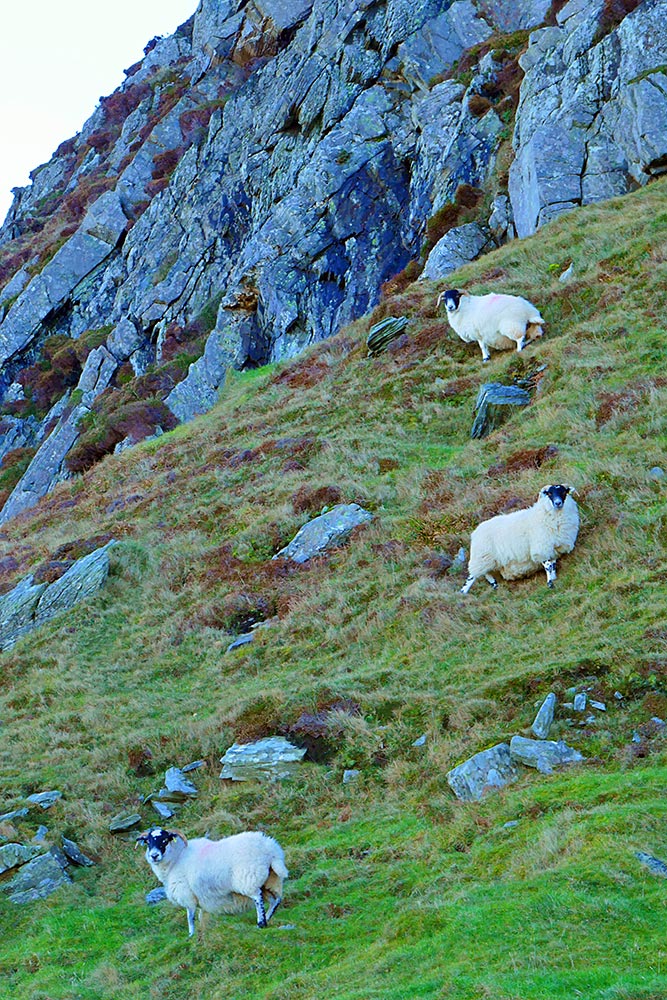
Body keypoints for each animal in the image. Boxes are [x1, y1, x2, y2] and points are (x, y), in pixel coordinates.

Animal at [136, 827, 288, 938]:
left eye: (165, 840)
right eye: (148, 842)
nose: (154, 856)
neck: (176, 859)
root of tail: (271, 850)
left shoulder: (187, 894)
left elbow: (190, 916)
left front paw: (191, 935)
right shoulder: (199, 897)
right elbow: (201, 915)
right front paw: (202, 931)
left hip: (248, 879)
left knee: (257, 898)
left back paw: (261, 923)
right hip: (271, 879)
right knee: (275, 900)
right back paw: (267, 917)